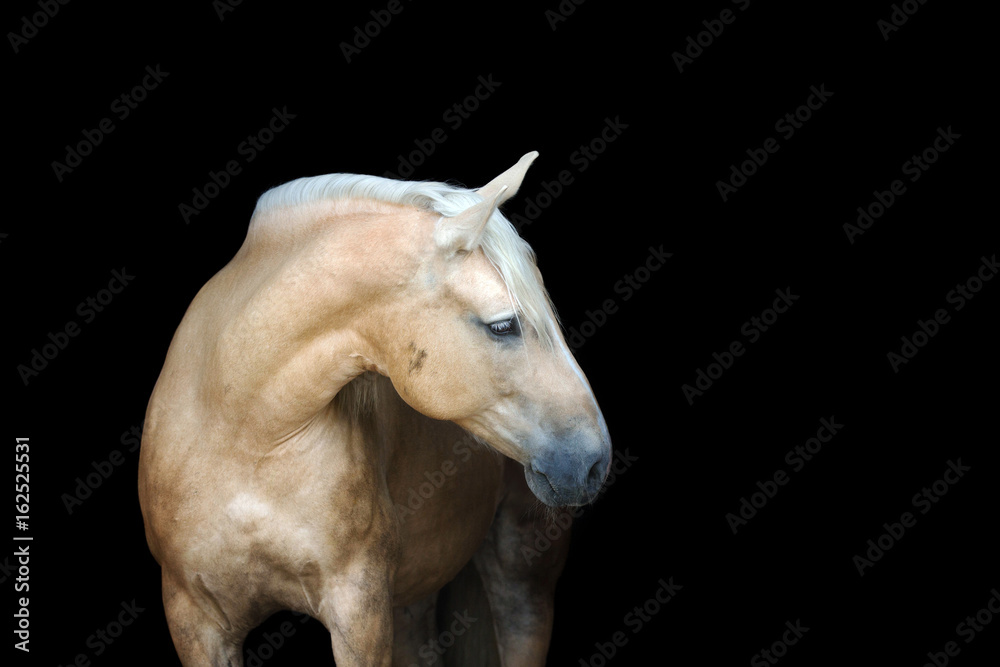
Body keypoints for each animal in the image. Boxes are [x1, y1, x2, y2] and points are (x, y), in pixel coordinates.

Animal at [137, 151, 613, 666]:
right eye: (503, 325)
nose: (593, 461)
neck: (245, 436)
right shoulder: (195, 619)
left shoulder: (358, 611)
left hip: (523, 577)